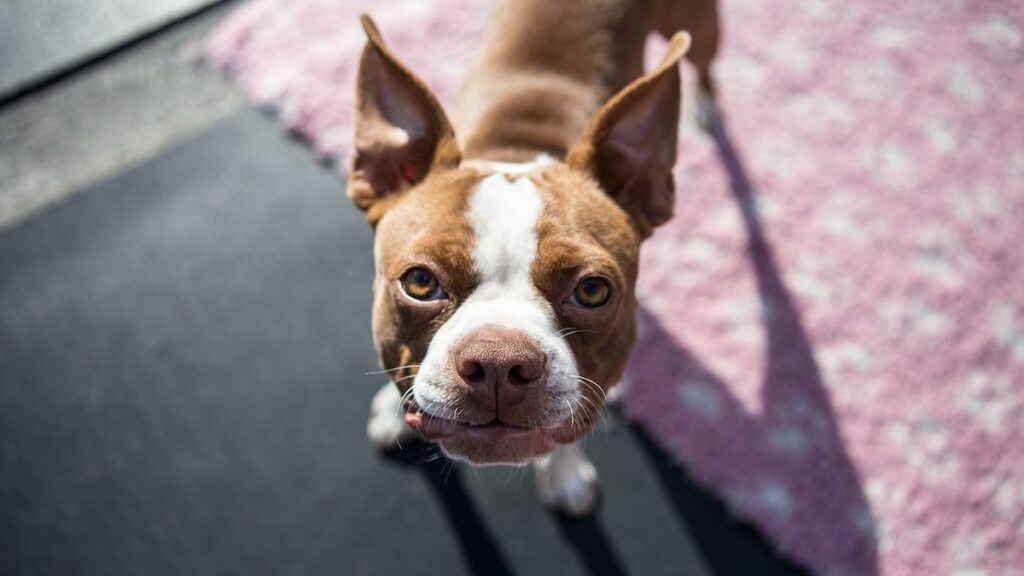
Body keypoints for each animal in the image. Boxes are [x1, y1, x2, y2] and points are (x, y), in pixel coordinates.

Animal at [352, 0, 720, 510]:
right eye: (420, 282)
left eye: (592, 290)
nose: (498, 363)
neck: (519, 151)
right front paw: (391, 408)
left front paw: (565, 478)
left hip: (699, 26)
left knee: (704, 63)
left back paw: (706, 104)